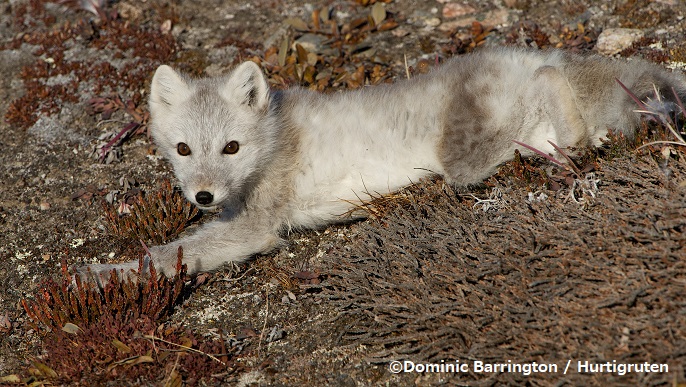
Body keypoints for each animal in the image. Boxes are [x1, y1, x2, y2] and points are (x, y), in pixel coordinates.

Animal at [79, 47, 684, 282]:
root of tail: (536, 52)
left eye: (230, 148)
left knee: (546, 87)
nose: (203, 197)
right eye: (184, 150)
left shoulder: (254, 228)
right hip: (527, 140)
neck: (272, 137)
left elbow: (168, 255)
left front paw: (98, 277)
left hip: (462, 161)